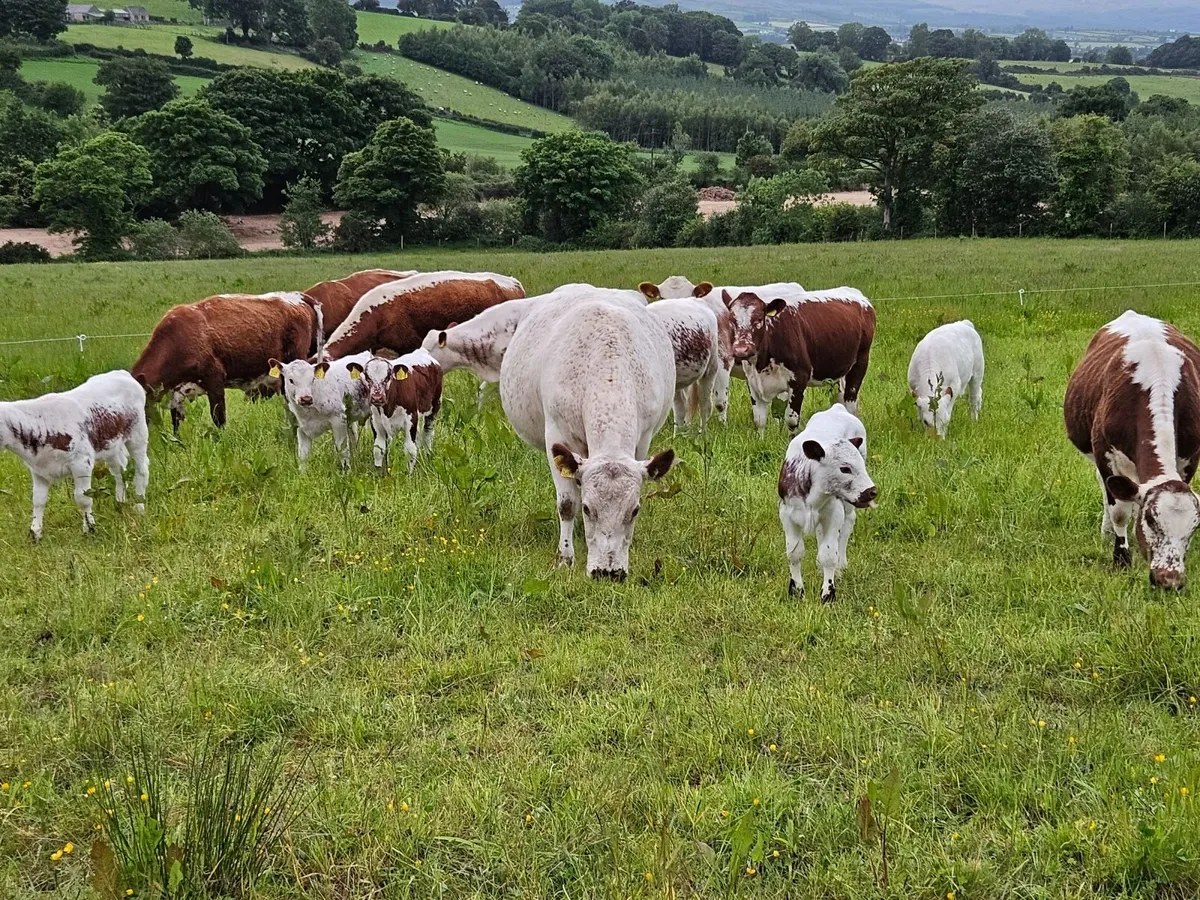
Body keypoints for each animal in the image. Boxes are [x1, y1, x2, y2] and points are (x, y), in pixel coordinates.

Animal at [0, 370, 149, 541]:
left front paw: (90, 529)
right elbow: (38, 500)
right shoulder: (38, 470)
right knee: (120, 471)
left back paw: (139, 507)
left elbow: (83, 498)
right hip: (111, 445)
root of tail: (122, 373)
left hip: (138, 434)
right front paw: (35, 534)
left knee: (141, 470)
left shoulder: (81, 463)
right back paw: (120, 504)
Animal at [500, 291, 676, 580]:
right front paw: (565, 557)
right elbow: (567, 503)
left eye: (634, 510)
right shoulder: (557, 437)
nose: (608, 572)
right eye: (587, 508)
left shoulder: (643, 440)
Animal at [724, 287, 875, 432]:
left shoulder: (799, 378)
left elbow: (791, 420)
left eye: (759, 319)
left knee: (850, 403)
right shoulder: (752, 382)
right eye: (732, 320)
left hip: (860, 363)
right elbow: (759, 420)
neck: (762, 364)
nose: (741, 349)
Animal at [777, 403, 876, 603]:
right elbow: (794, 553)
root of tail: (837, 408)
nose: (871, 492)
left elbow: (829, 555)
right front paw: (796, 591)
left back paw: (841, 566)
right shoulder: (787, 515)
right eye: (844, 468)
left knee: (847, 525)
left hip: (846, 506)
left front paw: (828, 594)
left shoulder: (834, 513)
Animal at [1065, 310, 1200, 589]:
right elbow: (1119, 511)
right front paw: (1121, 559)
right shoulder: (1105, 454)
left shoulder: (1190, 457)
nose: (1169, 579)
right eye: (1152, 520)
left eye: (1195, 527)